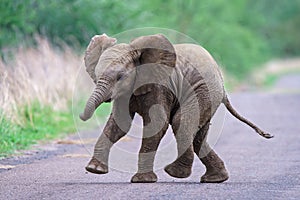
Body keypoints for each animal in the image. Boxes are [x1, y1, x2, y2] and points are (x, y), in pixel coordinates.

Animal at [79, 33, 272, 184]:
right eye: (96, 74)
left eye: (120, 77)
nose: (80, 116)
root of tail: (223, 84)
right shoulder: (125, 93)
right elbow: (120, 124)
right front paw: (94, 169)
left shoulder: (160, 86)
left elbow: (157, 123)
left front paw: (141, 181)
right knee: (197, 136)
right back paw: (215, 179)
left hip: (204, 91)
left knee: (181, 122)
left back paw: (175, 173)